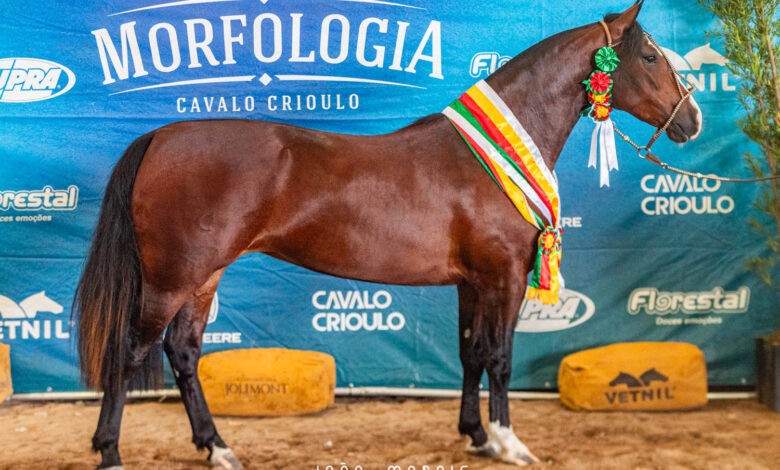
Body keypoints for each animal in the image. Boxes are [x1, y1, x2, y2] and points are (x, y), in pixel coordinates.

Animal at [74, 1, 702, 468]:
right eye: (651, 55)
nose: (692, 122)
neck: (490, 158)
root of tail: (162, 136)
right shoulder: (503, 277)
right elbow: (500, 357)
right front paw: (509, 443)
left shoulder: (471, 282)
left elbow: (471, 353)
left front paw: (476, 436)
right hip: (170, 278)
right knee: (128, 351)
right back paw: (111, 453)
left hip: (203, 276)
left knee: (183, 351)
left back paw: (218, 449)